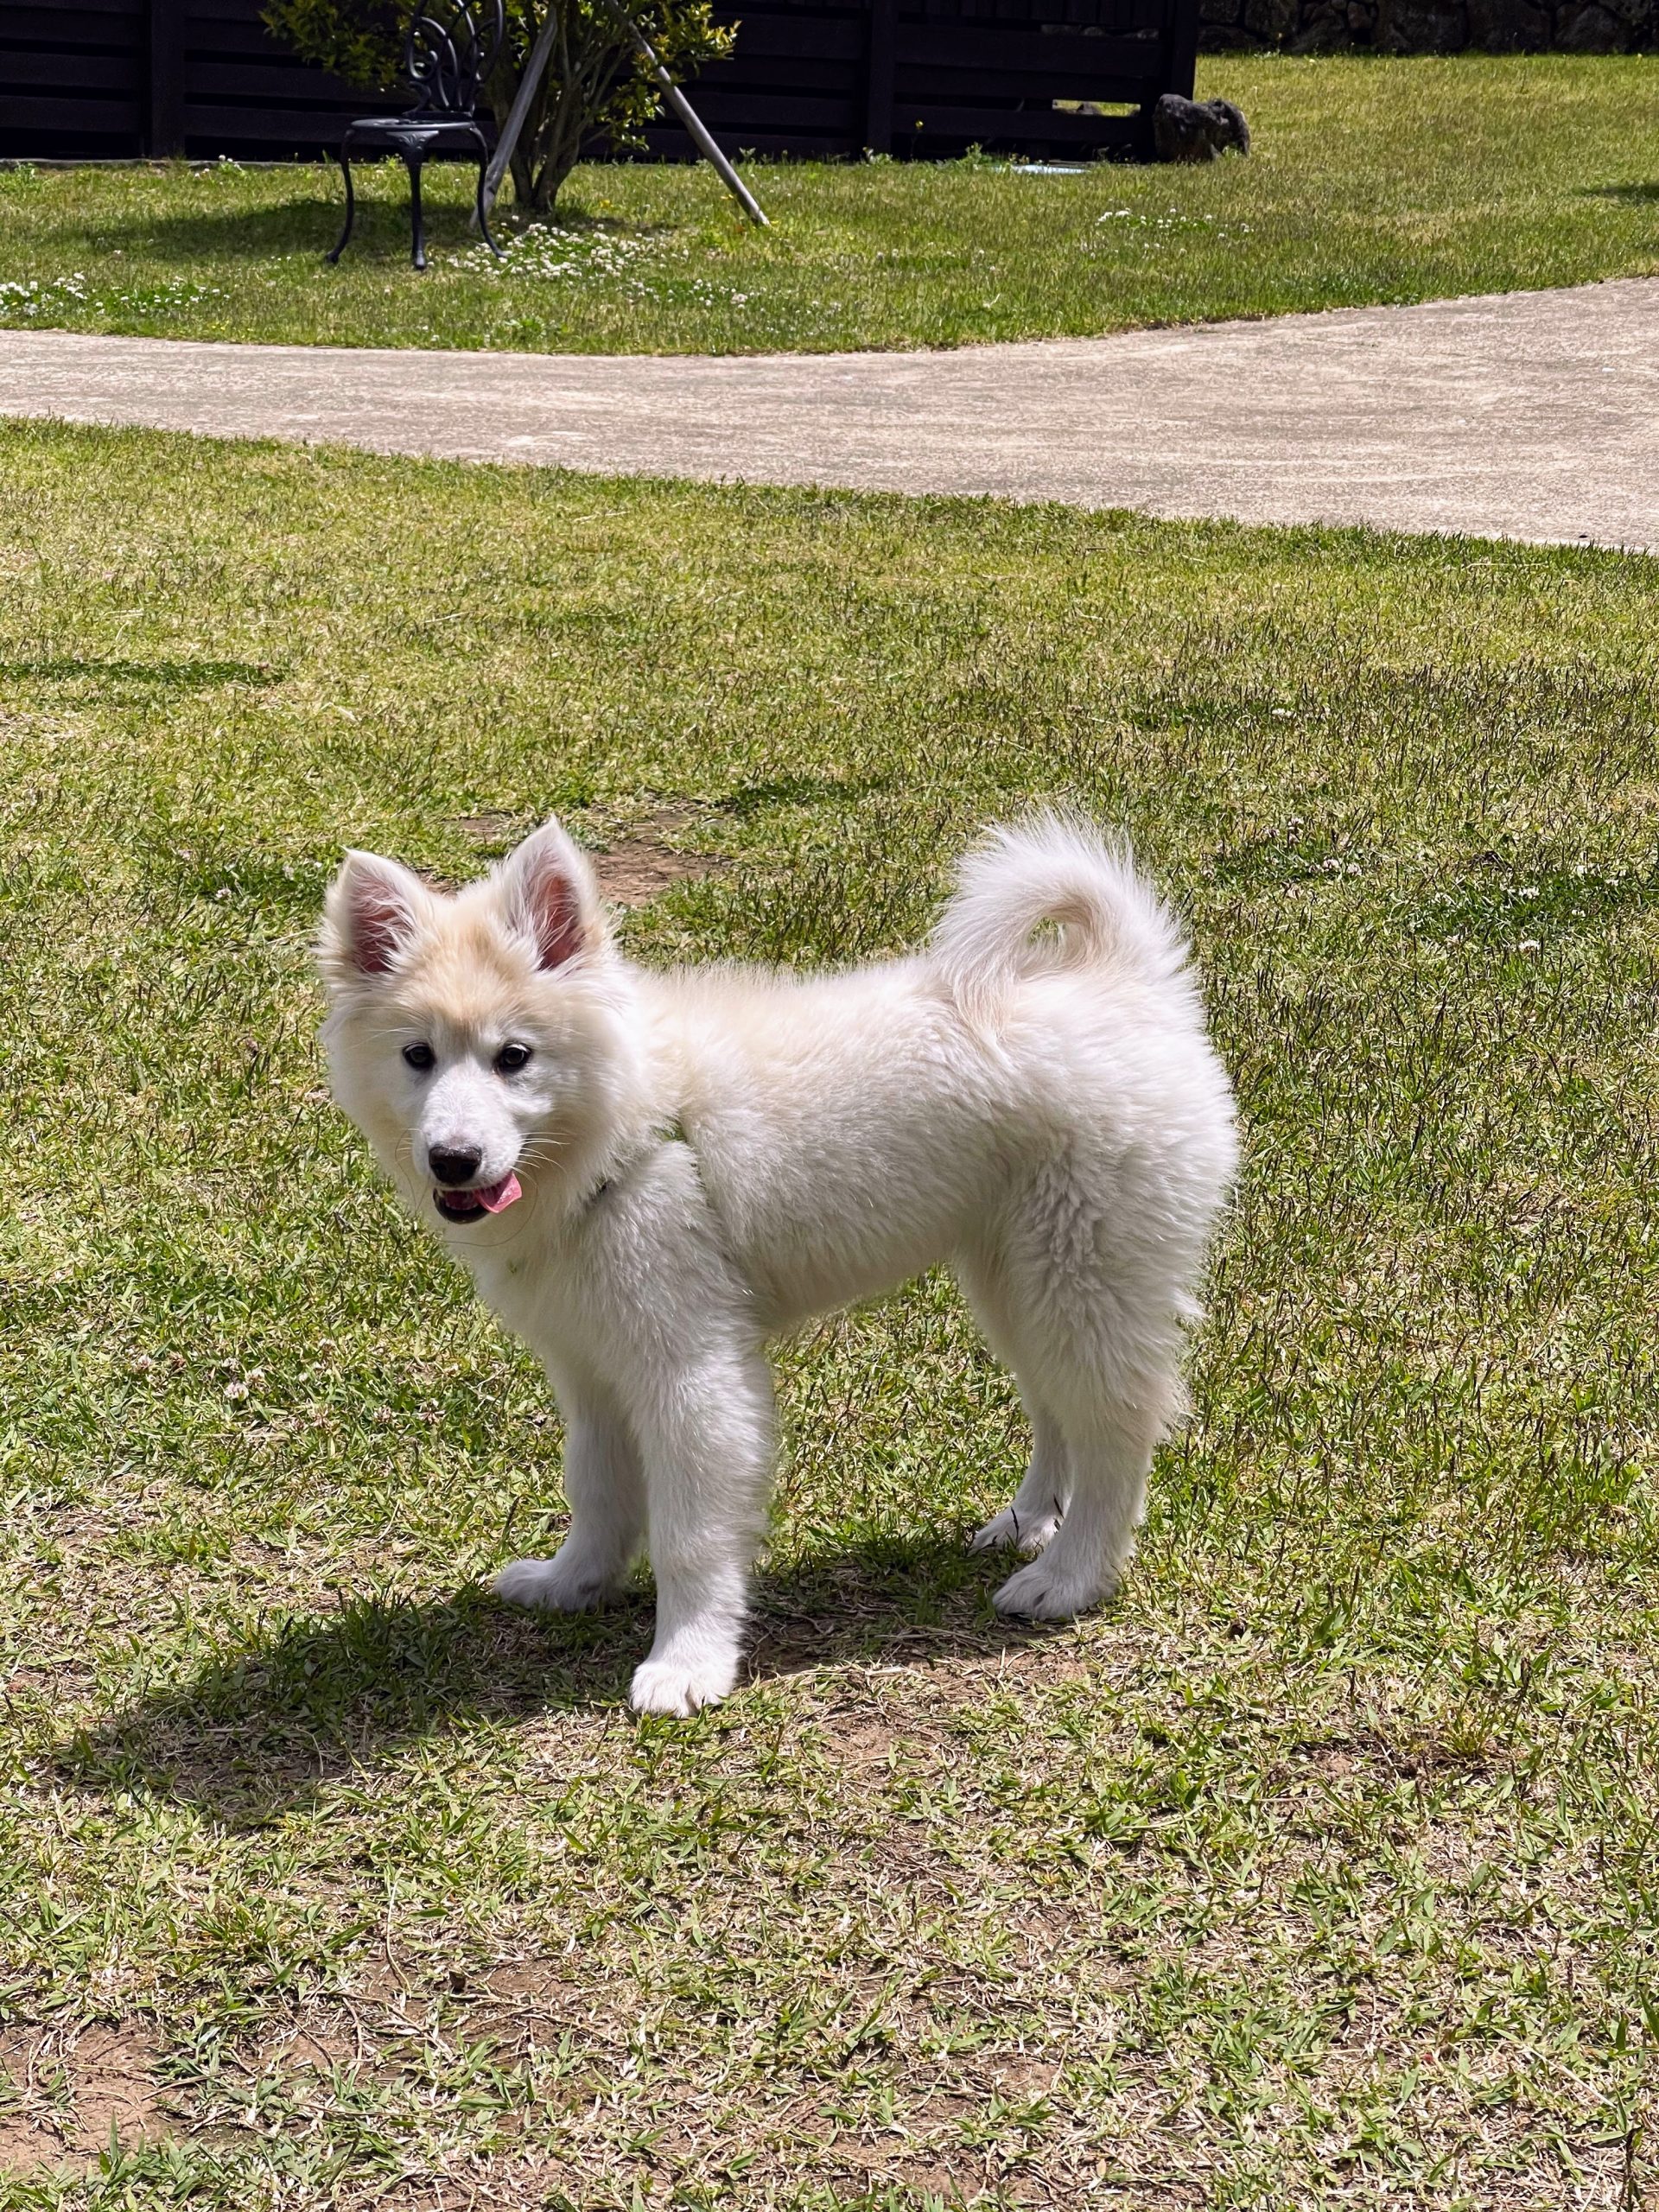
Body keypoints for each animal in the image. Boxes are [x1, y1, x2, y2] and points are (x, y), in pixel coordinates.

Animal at [318, 814, 1237, 1715]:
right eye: (417, 1056)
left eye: (514, 1056)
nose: (453, 1161)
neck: (630, 1124)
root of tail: (1126, 981)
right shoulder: (591, 1364)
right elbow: (597, 1489)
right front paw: (572, 1584)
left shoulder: (691, 1371)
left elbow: (689, 1537)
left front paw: (685, 1666)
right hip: (1014, 1278)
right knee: (1056, 1409)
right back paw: (1027, 1525)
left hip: (1082, 1276)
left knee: (1118, 1427)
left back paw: (1068, 1577)